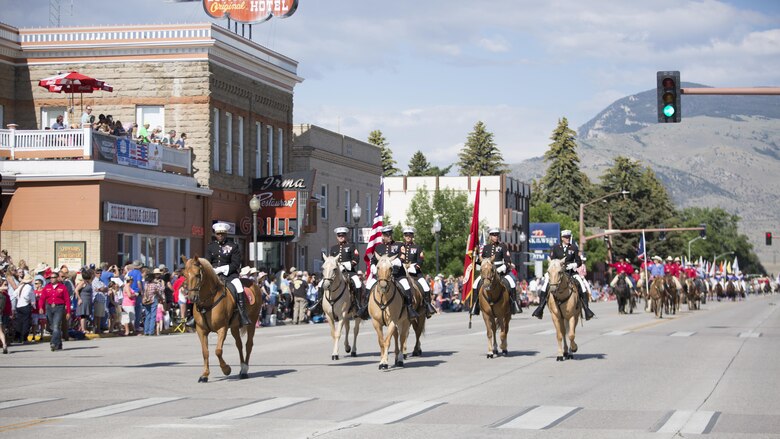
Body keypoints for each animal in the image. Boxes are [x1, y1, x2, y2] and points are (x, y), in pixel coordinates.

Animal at [184, 256, 264, 384]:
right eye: (185, 275)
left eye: (197, 275)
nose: (192, 298)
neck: (208, 301)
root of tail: (254, 284)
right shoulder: (201, 330)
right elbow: (205, 352)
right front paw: (204, 375)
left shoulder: (222, 328)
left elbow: (218, 351)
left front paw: (226, 369)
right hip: (235, 326)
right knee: (239, 345)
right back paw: (242, 368)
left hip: (252, 321)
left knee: (248, 344)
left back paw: (244, 370)